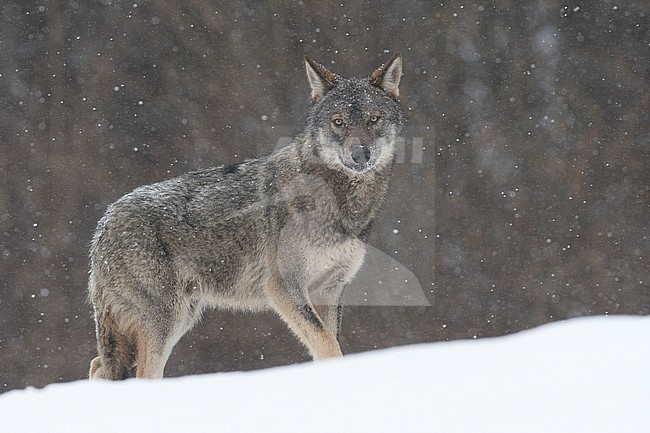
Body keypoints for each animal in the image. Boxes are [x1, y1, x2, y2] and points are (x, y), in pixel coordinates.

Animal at [88, 53, 404, 379]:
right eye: (338, 122)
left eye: (373, 119)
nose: (360, 155)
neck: (340, 203)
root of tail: (103, 224)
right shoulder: (284, 288)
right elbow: (328, 345)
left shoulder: (329, 291)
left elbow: (329, 344)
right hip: (165, 321)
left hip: (178, 319)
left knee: (98, 365)